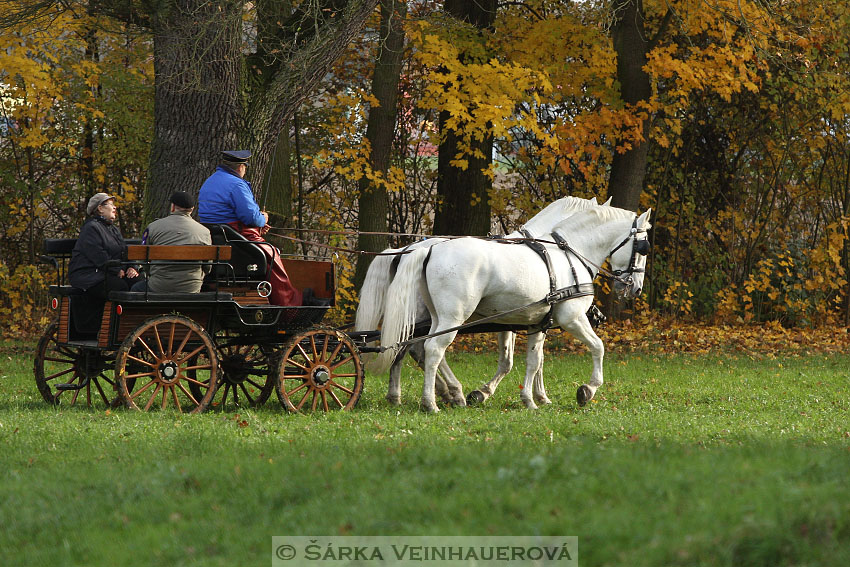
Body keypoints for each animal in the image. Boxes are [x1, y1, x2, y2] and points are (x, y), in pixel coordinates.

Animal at [372, 206, 648, 410]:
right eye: (643, 246)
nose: (636, 288)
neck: (568, 255)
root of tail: (428, 249)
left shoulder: (536, 323)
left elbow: (533, 361)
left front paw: (531, 399)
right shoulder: (573, 318)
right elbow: (598, 347)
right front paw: (587, 390)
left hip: (436, 318)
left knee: (413, 348)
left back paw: (419, 395)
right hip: (452, 317)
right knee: (431, 350)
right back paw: (432, 401)